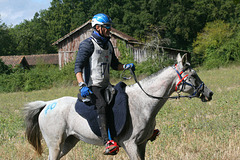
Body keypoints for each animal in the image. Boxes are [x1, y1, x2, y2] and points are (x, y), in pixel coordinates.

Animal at [23, 53, 213, 160]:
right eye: (193, 75)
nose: (209, 93)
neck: (143, 102)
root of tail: (47, 104)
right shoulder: (130, 144)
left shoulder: (141, 144)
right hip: (55, 144)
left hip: (68, 143)